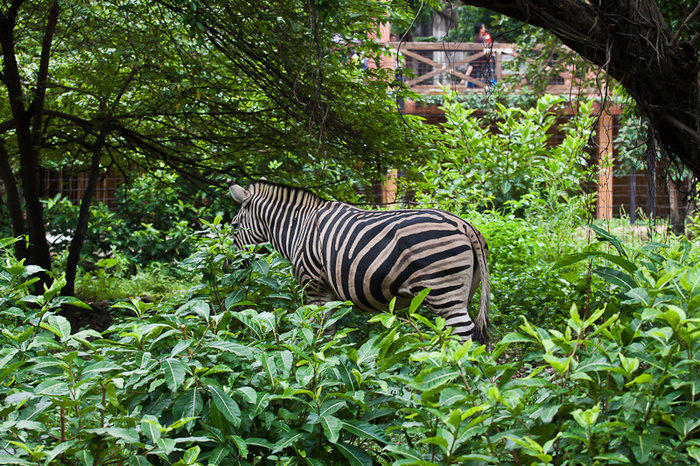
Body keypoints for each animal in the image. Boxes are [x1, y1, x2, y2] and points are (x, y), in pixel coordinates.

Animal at [227, 180, 490, 344]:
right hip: (463, 291)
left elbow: (319, 328)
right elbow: (330, 329)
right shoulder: (328, 291)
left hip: (442, 290)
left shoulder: (313, 285)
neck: (299, 227)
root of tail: (465, 225)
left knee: (463, 332)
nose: (227, 266)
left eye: (234, 226)